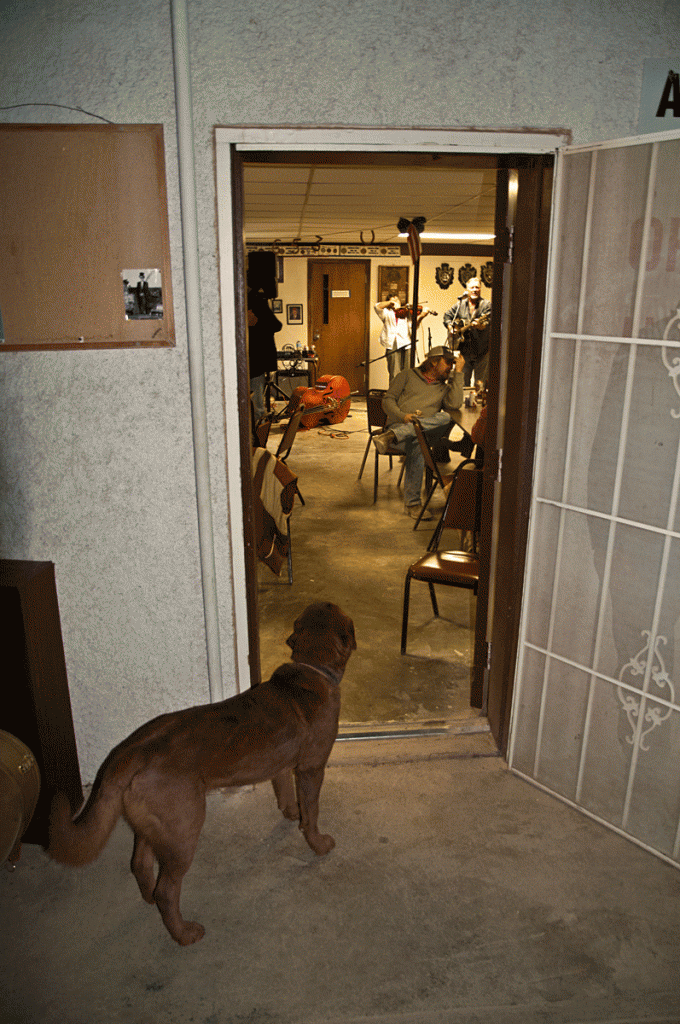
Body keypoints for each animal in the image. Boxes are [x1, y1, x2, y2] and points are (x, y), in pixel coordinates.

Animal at [47, 598, 356, 942]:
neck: (312, 666)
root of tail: (130, 752)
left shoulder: (283, 765)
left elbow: (285, 793)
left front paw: (291, 814)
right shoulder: (312, 769)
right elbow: (312, 813)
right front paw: (318, 843)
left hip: (154, 826)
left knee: (140, 864)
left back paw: (148, 899)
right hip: (184, 829)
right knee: (167, 890)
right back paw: (184, 934)